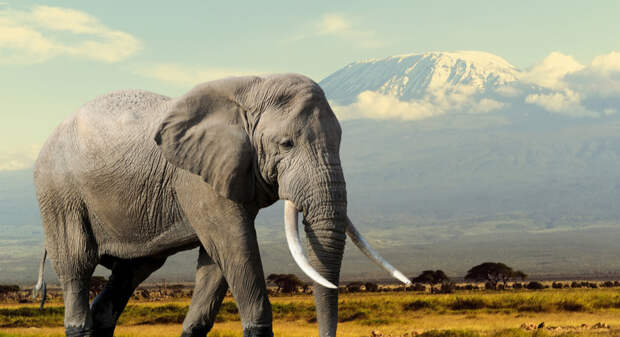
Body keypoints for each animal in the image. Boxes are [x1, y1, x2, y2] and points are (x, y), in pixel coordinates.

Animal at [34, 74, 412, 336]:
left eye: (341, 141)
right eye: (286, 144)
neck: (253, 89)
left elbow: (217, 263)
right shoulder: (197, 178)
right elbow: (235, 245)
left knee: (131, 272)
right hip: (59, 193)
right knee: (77, 264)